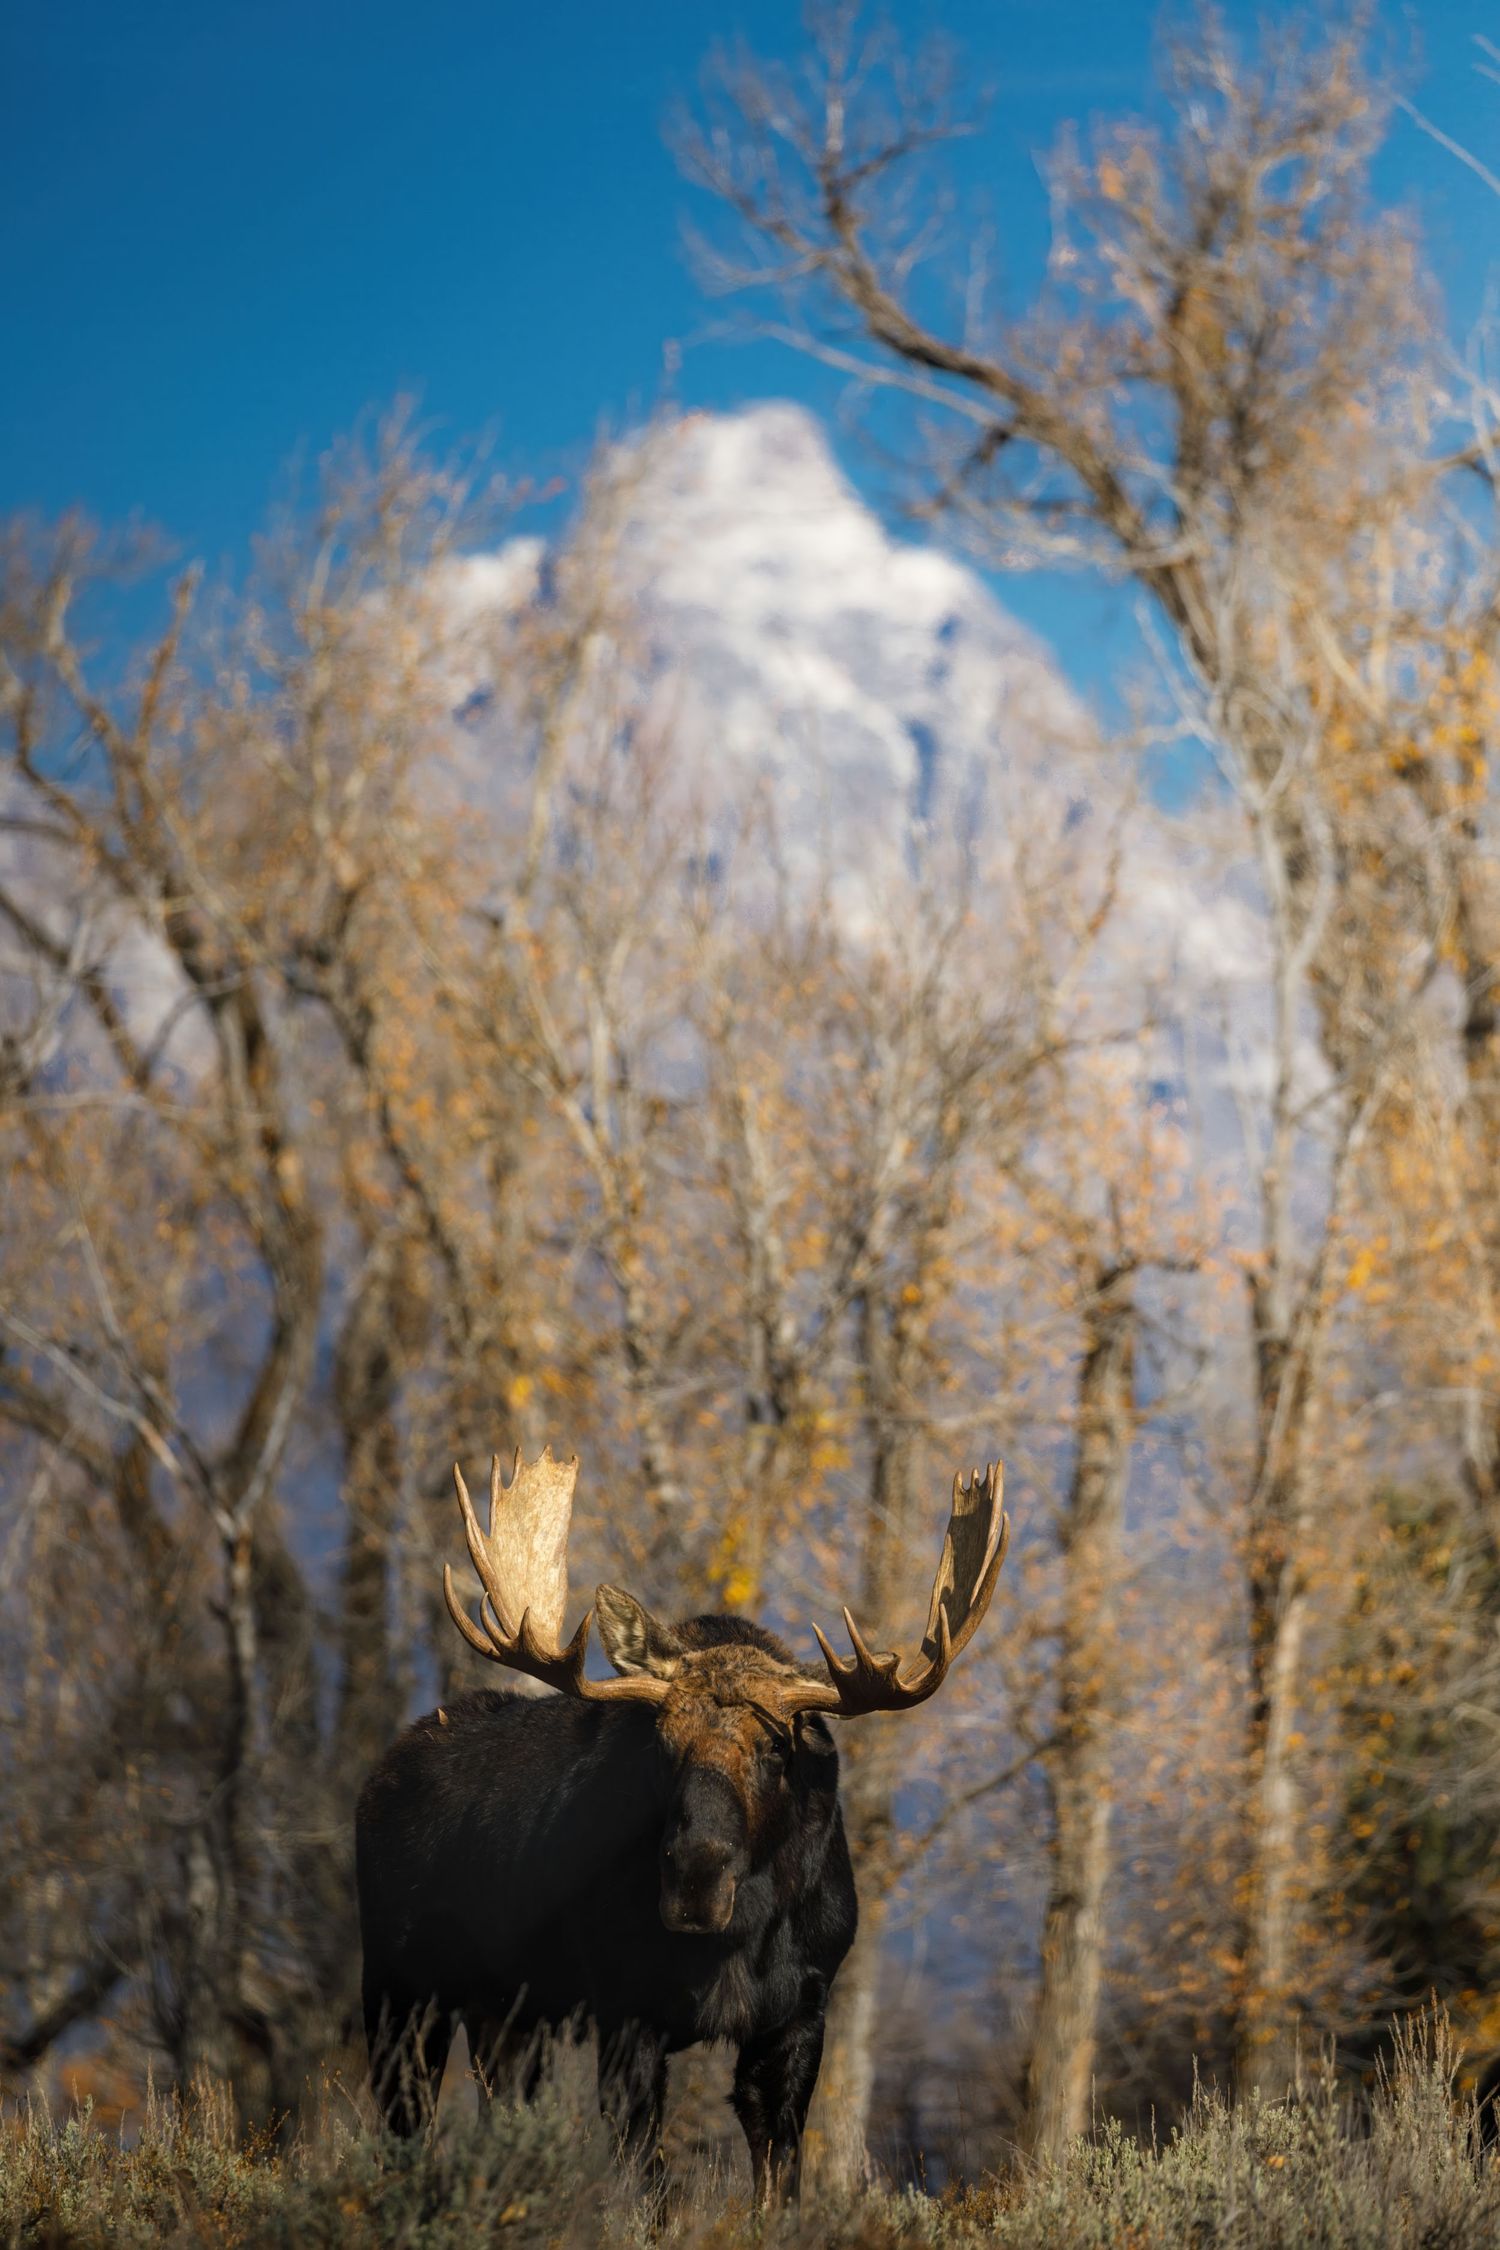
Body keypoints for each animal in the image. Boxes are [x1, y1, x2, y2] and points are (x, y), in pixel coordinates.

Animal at [355, 1444, 1007, 2202]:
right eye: (662, 1741)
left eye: (775, 1747)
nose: (696, 1879)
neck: (735, 1945)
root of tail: (380, 1772)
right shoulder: (624, 2009)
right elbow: (648, 2177)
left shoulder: (801, 2009)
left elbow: (778, 2174)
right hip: (399, 1986)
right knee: (406, 2119)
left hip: (509, 2013)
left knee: (496, 2106)